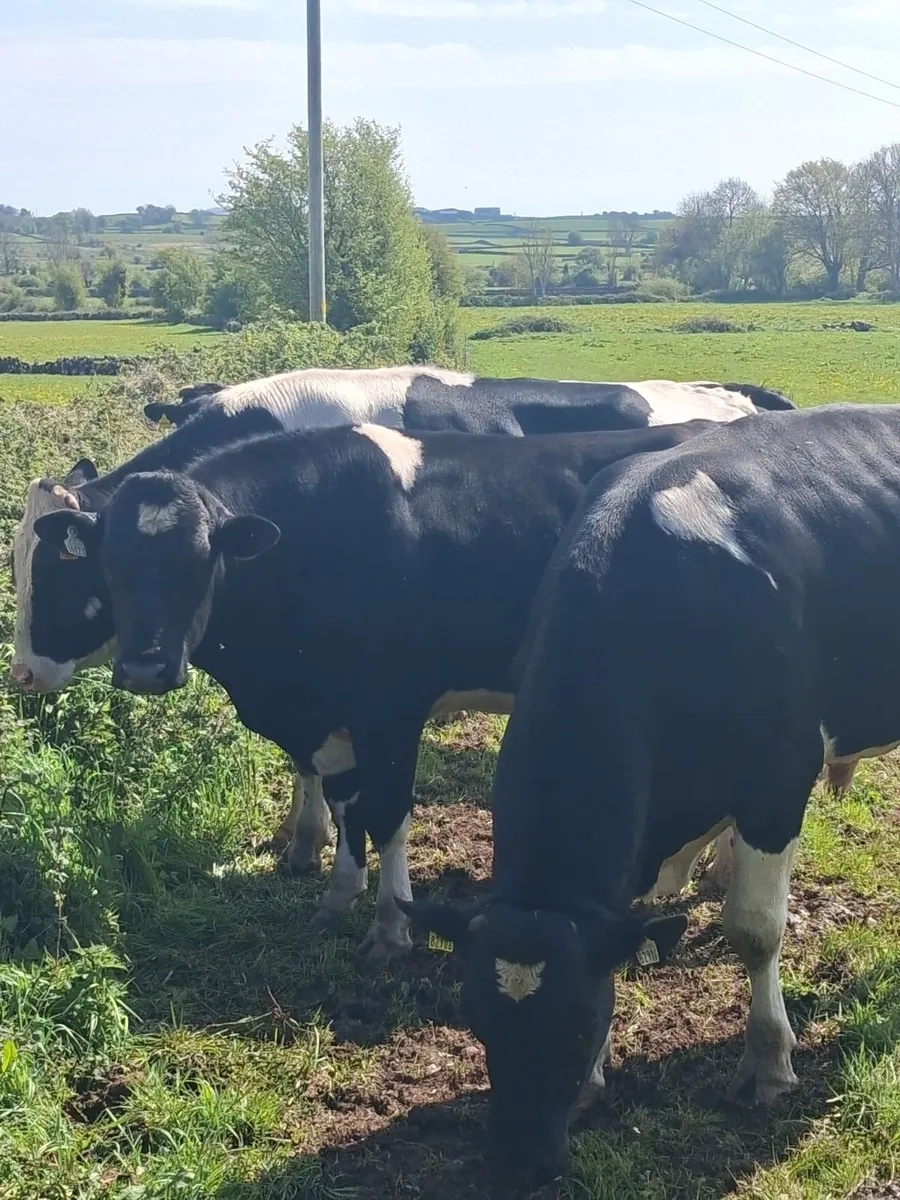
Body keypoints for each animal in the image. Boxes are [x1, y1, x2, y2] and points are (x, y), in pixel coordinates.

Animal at [10, 366, 791, 878]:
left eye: (64, 570)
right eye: (105, 567)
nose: (23, 672)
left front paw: (312, 842)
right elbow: (314, 768)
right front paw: (303, 839)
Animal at [32, 420, 725, 958]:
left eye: (201, 563)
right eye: (111, 568)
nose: (145, 669)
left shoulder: (389, 710)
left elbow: (387, 813)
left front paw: (392, 926)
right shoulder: (331, 718)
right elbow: (346, 807)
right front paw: (339, 895)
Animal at [399, 402, 900, 1189]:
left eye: (576, 1025)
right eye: (479, 1023)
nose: (519, 1165)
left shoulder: (777, 780)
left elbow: (755, 929)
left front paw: (767, 1061)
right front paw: (598, 1083)